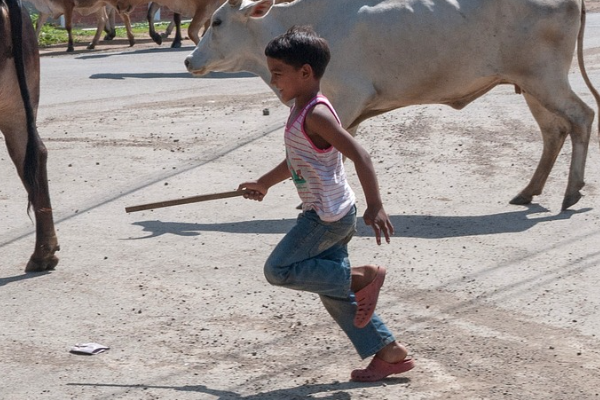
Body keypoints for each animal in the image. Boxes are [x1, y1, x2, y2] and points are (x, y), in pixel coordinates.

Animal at [185, 0, 600, 211]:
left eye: (217, 21)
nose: (189, 60)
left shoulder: (347, 98)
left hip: (545, 79)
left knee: (581, 116)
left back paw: (571, 191)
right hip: (530, 86)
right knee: (553, 132)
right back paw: (529, 191)